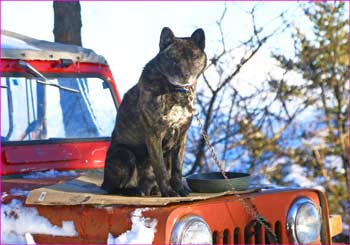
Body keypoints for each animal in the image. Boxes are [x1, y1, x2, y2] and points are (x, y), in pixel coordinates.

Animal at [101, 27, 206, 197]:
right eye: (173, 58)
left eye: (194, 57)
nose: (185, 75)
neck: (175, 91)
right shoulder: (154, 135)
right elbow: (161, 170)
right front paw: (169, 192)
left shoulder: (181, 136)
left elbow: (177, 169)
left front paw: (179, 189)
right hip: (124, 154)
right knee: (112, 187)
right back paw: (134, 190)